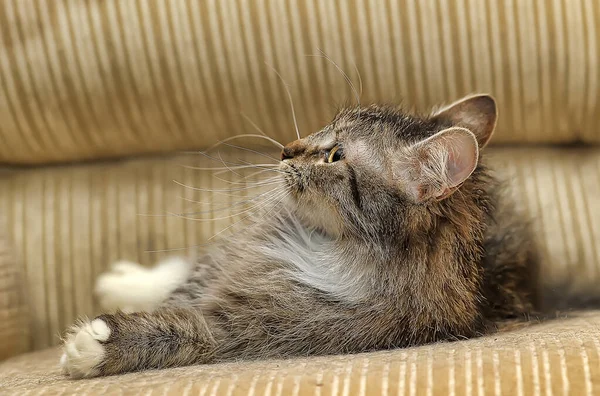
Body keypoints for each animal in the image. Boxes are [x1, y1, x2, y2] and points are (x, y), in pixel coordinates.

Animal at [59, 94, 540, 378]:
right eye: (324, 126)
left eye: (335, 155)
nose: (286, 149)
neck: (316, 244)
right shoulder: (230, 260)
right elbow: (182, 283)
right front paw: (127, 290)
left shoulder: (253, 329)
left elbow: (178, 326)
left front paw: (92, 345)